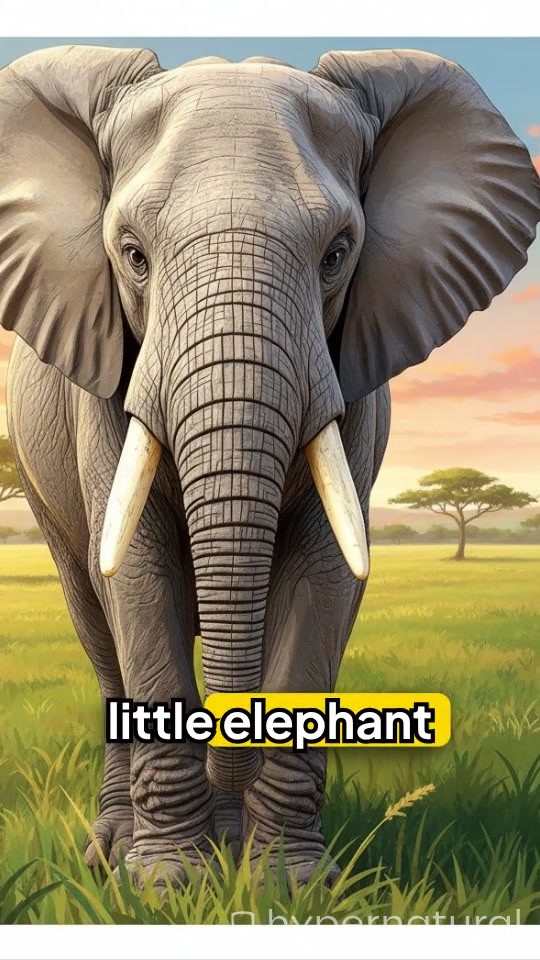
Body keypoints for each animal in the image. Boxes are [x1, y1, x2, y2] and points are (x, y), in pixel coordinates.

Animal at [3, 44, 539, 887]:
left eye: (337, 255)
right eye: (133, 257)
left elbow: (325, 574)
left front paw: (288, 883)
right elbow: (137, 575)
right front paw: (166, 885)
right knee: (94, 621)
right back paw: (111, 853)